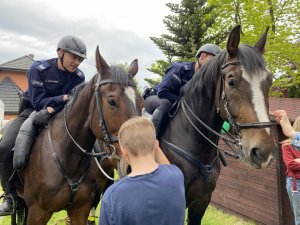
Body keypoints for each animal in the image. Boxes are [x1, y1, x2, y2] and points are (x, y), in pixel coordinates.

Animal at [14, 46, 144, 224]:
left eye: (141, 103)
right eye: (111, 101)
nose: (132, 165)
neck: (67, 157)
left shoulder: (79, 210)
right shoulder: (38, 212)